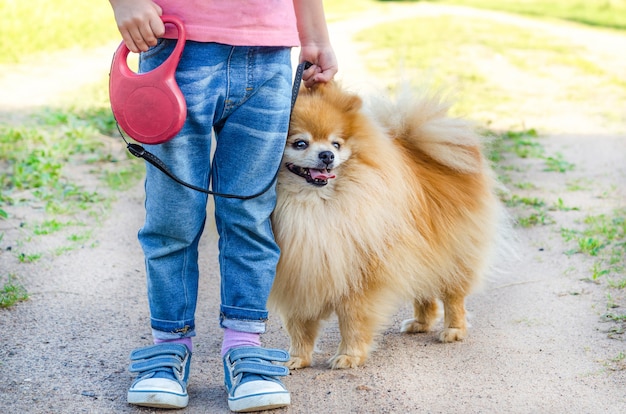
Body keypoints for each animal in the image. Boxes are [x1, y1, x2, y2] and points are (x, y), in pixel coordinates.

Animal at [268, 81, 502, 368]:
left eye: (336, 144)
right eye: (300, 143)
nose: (327, 155)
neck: (314, 207)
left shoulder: (359, 276)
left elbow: (352, 320)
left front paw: (349, 355)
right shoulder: (297, 274)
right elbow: (298, 326)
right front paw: (296, 358)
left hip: (453, 252)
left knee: (453, 294)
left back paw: (453, 329)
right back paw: (420, 323)